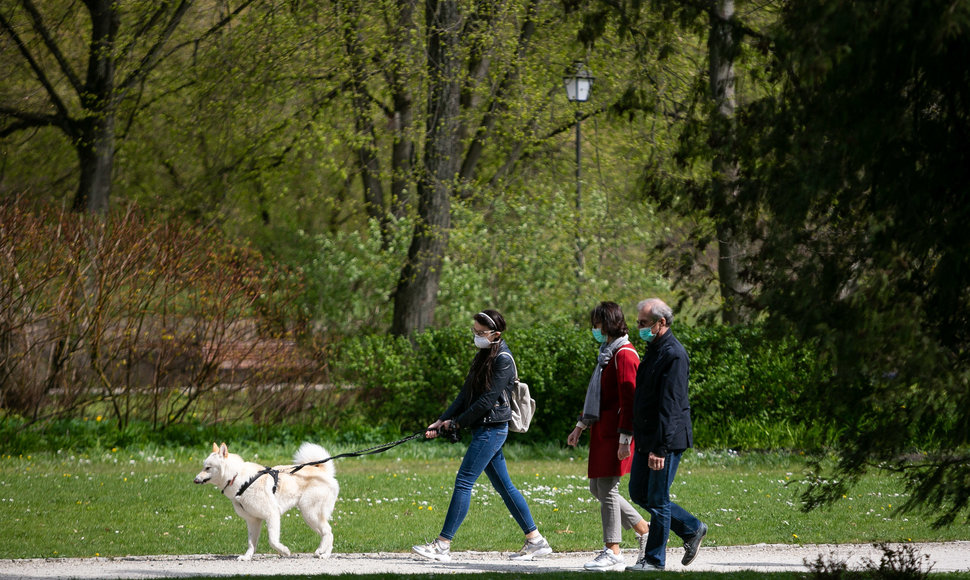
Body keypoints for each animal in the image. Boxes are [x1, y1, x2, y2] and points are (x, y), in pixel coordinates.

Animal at [191, 442, 338, 560]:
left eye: (208, 468)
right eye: (204, 467)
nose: (195, 480)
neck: (237, 477)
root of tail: (323, 471)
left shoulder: (272, 515)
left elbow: (272, 540)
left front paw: (284, 551)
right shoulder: (253, 521)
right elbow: (251, 543)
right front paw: (247, 557)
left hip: (310, 513)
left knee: (328, 532)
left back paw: (323, 553)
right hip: (310, 516)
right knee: (327, 533)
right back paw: (324, 553)